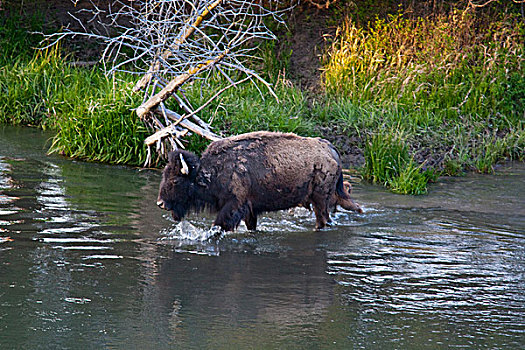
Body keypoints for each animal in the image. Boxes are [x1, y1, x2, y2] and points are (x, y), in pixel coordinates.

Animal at [156, 131, 360, 232]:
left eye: (176, 181)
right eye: (164, 175)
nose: (160, 203)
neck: (213, 171)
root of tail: (329, 148)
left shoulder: (234, 205)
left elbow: (218, 225)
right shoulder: (250, 210)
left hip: (321, 200)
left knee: (323, 220)